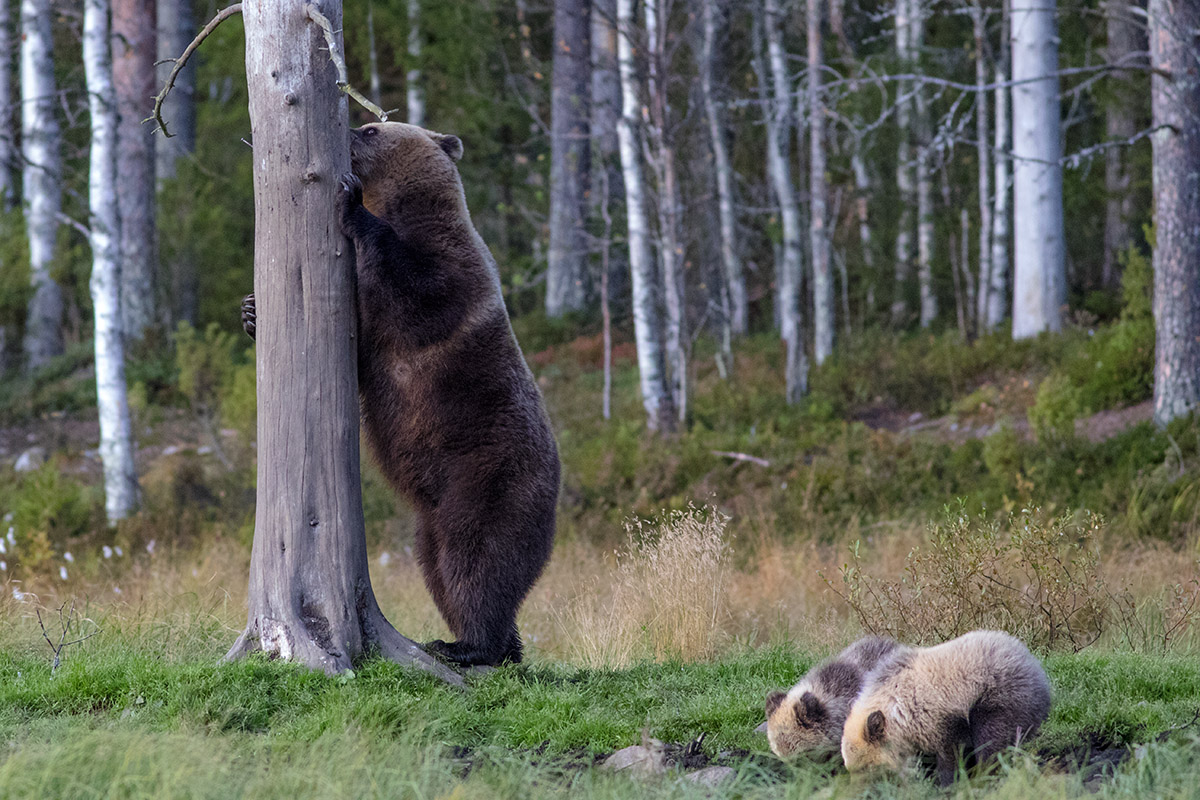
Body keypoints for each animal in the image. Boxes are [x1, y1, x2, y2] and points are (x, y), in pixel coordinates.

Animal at [242, 122, 559, 667]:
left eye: (372, 128)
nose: (349, 127)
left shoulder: (448, 281)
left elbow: (412, 289)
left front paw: (351, 202)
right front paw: (251, 312)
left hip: (491, 479)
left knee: (476, 558)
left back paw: (470, 645)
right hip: (435, 514)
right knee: (438, 567)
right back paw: (489, 643)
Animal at [840, 630, 1051, 786]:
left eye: (865, 767)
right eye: (850, 768)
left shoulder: (942, 717)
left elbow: (952, 753)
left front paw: (948, 783)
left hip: (998, 696)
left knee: (993, 739)